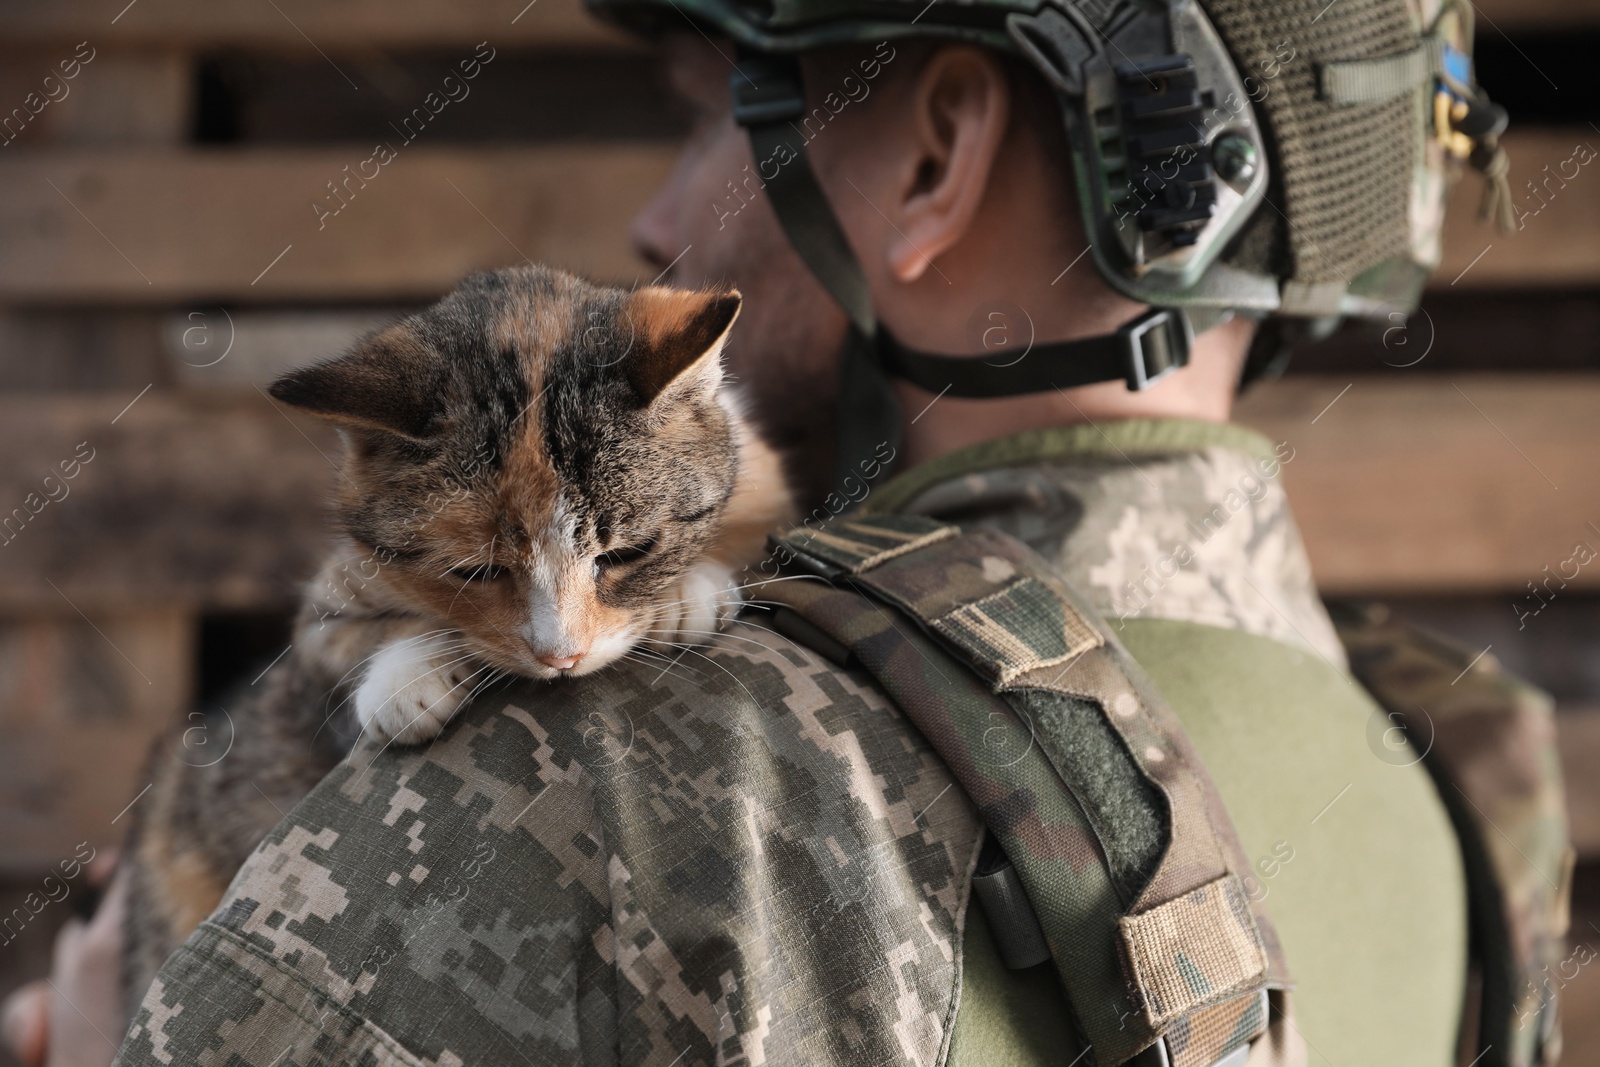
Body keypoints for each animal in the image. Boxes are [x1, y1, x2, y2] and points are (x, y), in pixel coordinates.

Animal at [121, 262, 796, 1017]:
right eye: (477, 570)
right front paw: (405, 681)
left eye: (627, 552)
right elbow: (347, 640)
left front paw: (688, 594)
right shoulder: (325, 607)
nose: (560, 654)